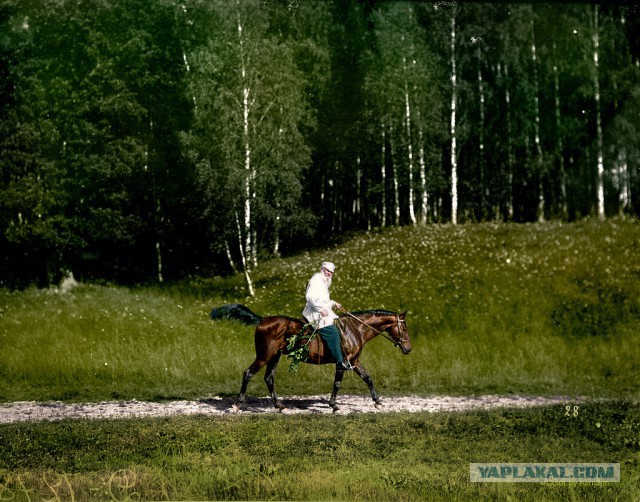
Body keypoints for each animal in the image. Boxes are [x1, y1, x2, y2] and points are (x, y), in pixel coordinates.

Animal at [208, 304, 412, 410]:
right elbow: (337, 384)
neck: (356, 329)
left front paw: (377, 401)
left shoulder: (354, 361)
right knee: (248, 373)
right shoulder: (342, 363)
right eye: (404, 327)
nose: (408, 349)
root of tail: (262, 319)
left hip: (274, 356)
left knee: (269, 378)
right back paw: (238, 404)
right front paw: (333, 405)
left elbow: (368, 378)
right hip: (265, 355)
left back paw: (278, 405)